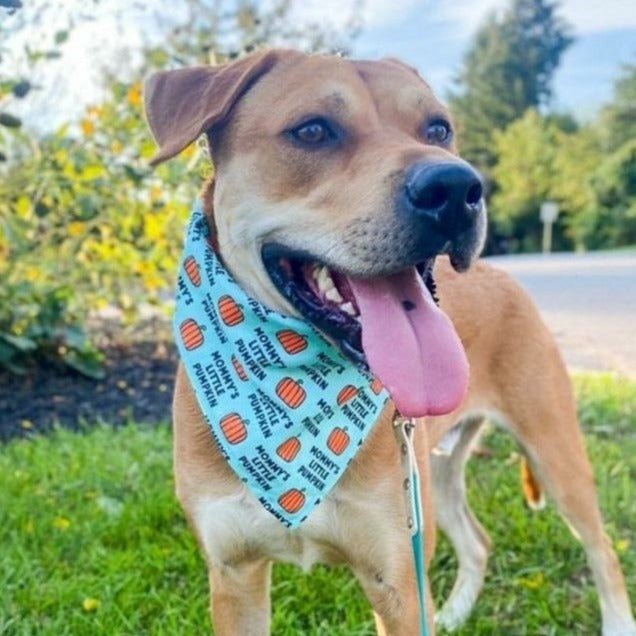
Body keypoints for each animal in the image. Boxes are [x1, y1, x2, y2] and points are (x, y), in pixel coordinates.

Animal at [144, 47, 636, 632]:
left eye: (439, 128)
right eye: (312, 130)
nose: (456, 189)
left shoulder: (397, 580)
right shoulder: (234, 576)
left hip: (552, 452)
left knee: (601, 548)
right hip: (437, 476)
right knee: (478, 542)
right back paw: (452, 614)